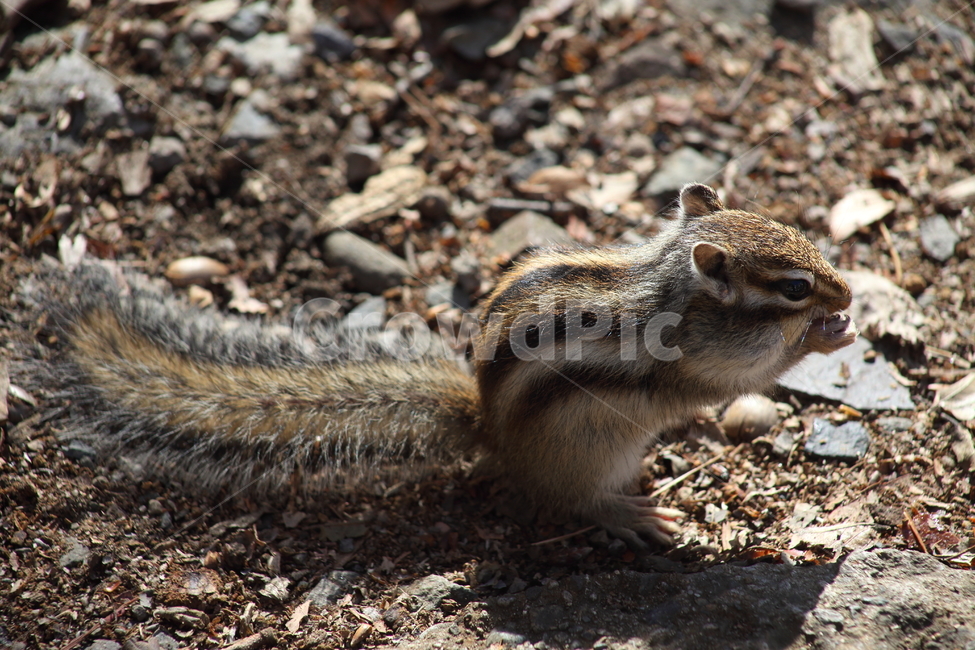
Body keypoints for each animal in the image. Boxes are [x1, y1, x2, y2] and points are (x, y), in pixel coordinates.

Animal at [23, 183, 858, 548]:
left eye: (806, 240)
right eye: (792, 285)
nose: (844, 290)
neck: (673, 289)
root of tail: (487, 428)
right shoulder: (702, 363)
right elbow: (738, 379)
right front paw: (827, 334)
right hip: (589, 448)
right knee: (572, 502)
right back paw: (632, 513)